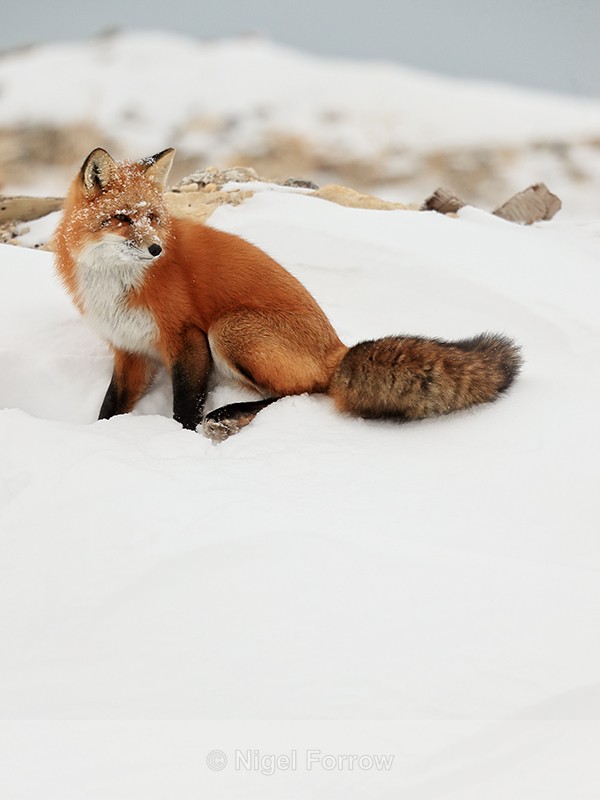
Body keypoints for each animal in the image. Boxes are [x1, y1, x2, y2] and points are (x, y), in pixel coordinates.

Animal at [53, 148, 522, 440]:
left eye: (152, 217)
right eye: (121, 218)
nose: (157, 249)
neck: (115, 284)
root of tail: (337, 350)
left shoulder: (187, 337)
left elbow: (186, 405)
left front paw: (180, 441)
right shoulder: (129, 349)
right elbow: (110, 406)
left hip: (231, 329)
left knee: (299, 392)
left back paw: (230, 415)